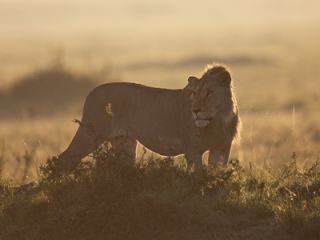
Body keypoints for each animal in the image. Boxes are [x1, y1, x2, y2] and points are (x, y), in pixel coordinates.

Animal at [59, 64, 240, 171]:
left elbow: (217, 175)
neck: (217, 120)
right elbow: (199, 177)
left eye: (209, 92)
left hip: (124, 143)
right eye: (194, 93)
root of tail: (91, 92)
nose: (195, 110)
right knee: (64, 159)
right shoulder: (193, 150)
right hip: (91, 134)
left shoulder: (222, 149)